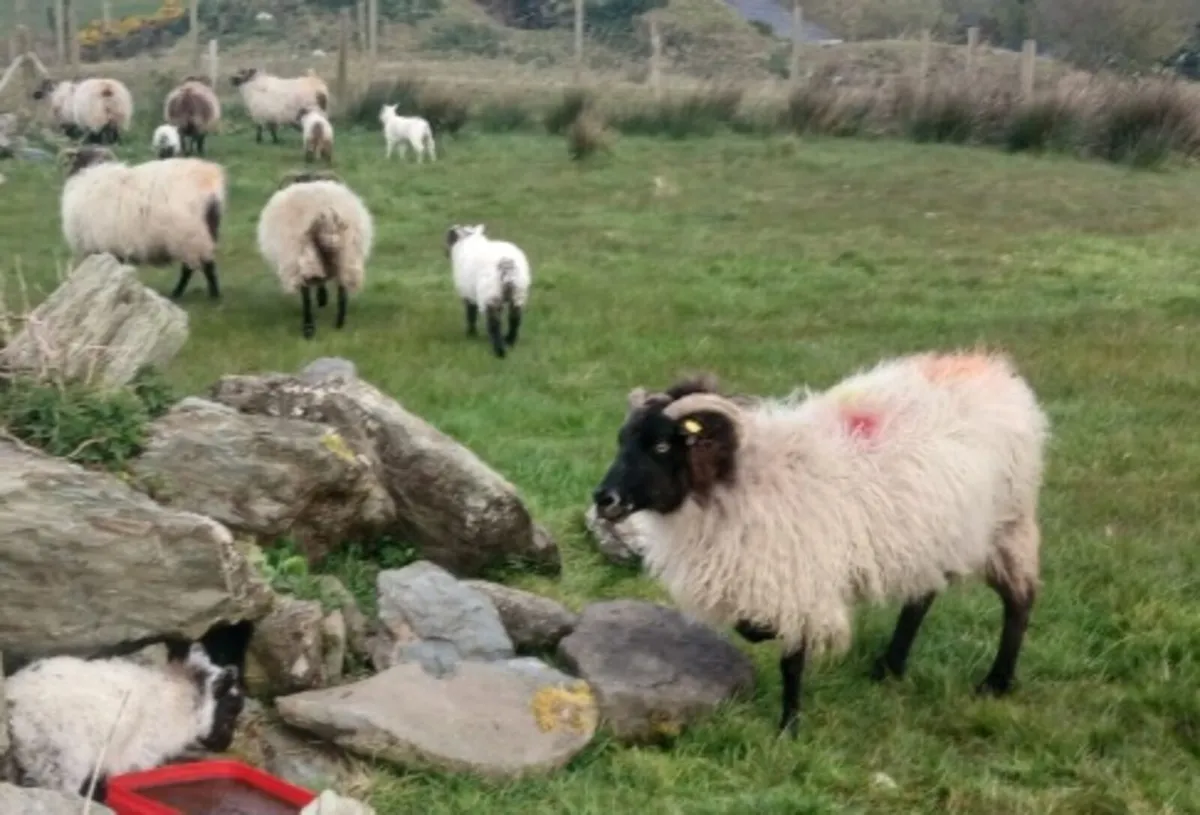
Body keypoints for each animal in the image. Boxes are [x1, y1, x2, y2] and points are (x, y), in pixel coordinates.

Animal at [59, 145, 226, 301]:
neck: (90, 173)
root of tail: (210, 182)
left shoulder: (104, 245)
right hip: (204, 233)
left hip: (189, 236)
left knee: (199, 267)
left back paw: (195, 294)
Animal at [257, 170, 373, 339]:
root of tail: (326, 211)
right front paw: (323, 299)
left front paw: (321, 299)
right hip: (347, 253)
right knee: (342, 290)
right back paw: (339, 324)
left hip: (301, 252)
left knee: (306, 294)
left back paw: (308, 328)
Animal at [444, 224, 531, 359]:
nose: (445, 253)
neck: (470, 241)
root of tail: (506, 264)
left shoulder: (468, 294)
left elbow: (471, 314)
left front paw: (471, 334)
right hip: (518, 294)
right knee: (515, 319)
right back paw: (509, 341)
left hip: (490, 294)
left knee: (494, 324)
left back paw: (499, 351)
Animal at [591, 350, 1049, 737]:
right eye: (622, 440)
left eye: (661, 445)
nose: (603, 499)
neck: (740, 480)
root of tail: (997, 372)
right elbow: (753, 628)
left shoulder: (801, 579)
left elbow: (791, 662)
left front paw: (788, 729)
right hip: (931, 533)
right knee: (922, 596)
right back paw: (890, 666)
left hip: (1007, 525)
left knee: (1019, 601)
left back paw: (997, 681)